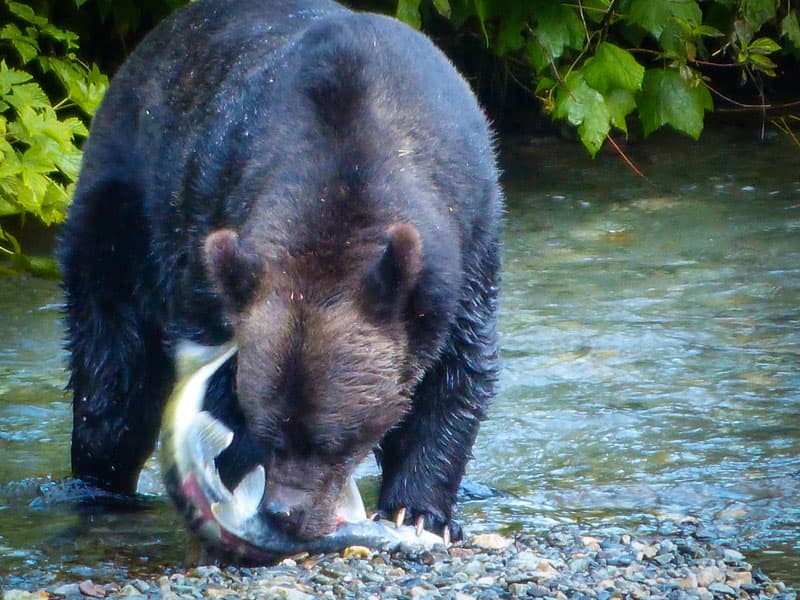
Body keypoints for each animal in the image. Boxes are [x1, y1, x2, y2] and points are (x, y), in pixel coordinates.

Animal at [61, 0, 500, 544]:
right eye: (270, 426)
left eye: (331, 439)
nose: (285, 511)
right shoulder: (210, 250)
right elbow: (214, 389)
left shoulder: (464, 252)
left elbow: (455, 375)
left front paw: (417, 510)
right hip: (122, 217)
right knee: (112, 379)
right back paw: (99, 488)